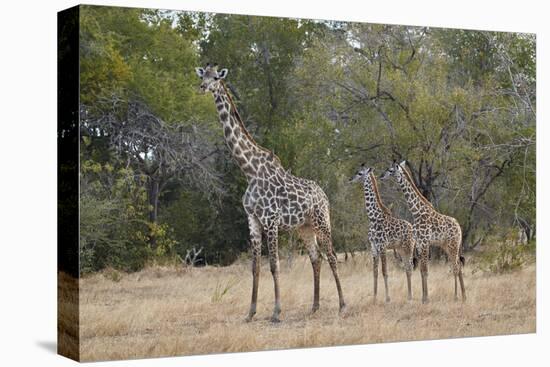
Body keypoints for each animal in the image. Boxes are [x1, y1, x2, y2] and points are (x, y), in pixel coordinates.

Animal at [196, 64, 348, 322]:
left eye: (216, 77)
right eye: (202, 75)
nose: (203, 87)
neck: (249, 170)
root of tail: (324, 195)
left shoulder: (271, 220)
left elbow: (274, 265)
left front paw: (276, 312)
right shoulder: (253, 220)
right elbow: (255, 267)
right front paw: (250, 312)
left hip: (322, 221)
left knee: (332, 256)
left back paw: (342, 305)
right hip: (304, 227)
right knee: (315, 258)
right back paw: (314, 306)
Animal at [352, 165, 416, 304]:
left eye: (360, 173)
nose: (350, 179)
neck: (373, 218)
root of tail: (412, 228)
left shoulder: (382, 246)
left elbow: (384, 272)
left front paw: (387, 298)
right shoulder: (374, 247)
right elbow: (375, 273)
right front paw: (374, 298)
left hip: (409, 247)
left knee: (410, 267)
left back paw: (411, 296)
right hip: (400, 249)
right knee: (407, 267)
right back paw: (409, 296)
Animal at [382, 161, 468, 304]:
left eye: (390, 170)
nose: (381, 176)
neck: (417, 212)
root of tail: (459, 227)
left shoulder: (425, 242)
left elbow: (426, 270)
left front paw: (426, 298)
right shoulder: (419, 243)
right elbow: (422, 270)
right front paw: (423, 298)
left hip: (453, 244)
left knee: (456, 267)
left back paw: (456, 296)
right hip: (447, 246)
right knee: (457, 266)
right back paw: (463, 296)